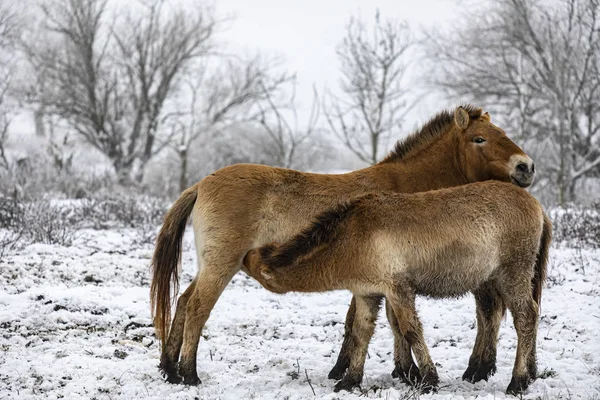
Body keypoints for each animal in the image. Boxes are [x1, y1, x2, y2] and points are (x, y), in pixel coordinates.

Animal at [244, 182, 552, 396]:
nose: (243, 256)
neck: (350, 237)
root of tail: (537, 205)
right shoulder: (367, 294)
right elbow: (361, 333)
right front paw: (350, 380)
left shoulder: (398, 289)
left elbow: (411, 331)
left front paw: (428, 379)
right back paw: (519, 372)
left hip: (512, 274)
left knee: (525, 317)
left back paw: (517, 381)